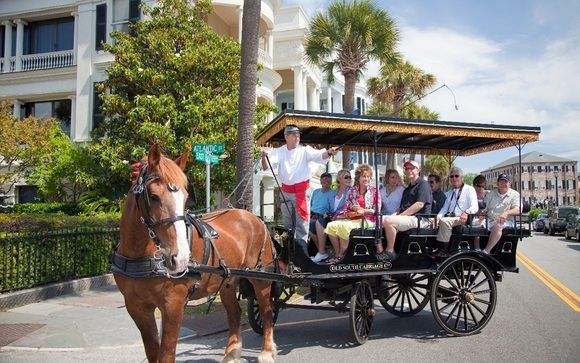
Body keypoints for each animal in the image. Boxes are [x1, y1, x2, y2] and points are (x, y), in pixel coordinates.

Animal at [114, 145, 278, 363]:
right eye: (154, 196)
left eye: (185, 197)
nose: (180, 258)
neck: (140, 255)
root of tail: (255, 217)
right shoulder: (137, 308)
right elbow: (152, 353)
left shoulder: (172, 305)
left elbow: (166, 354)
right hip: (227, 281)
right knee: (234, 313)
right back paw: (232, 354)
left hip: (261, 277)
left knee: (266, 310)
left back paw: (267, 351)